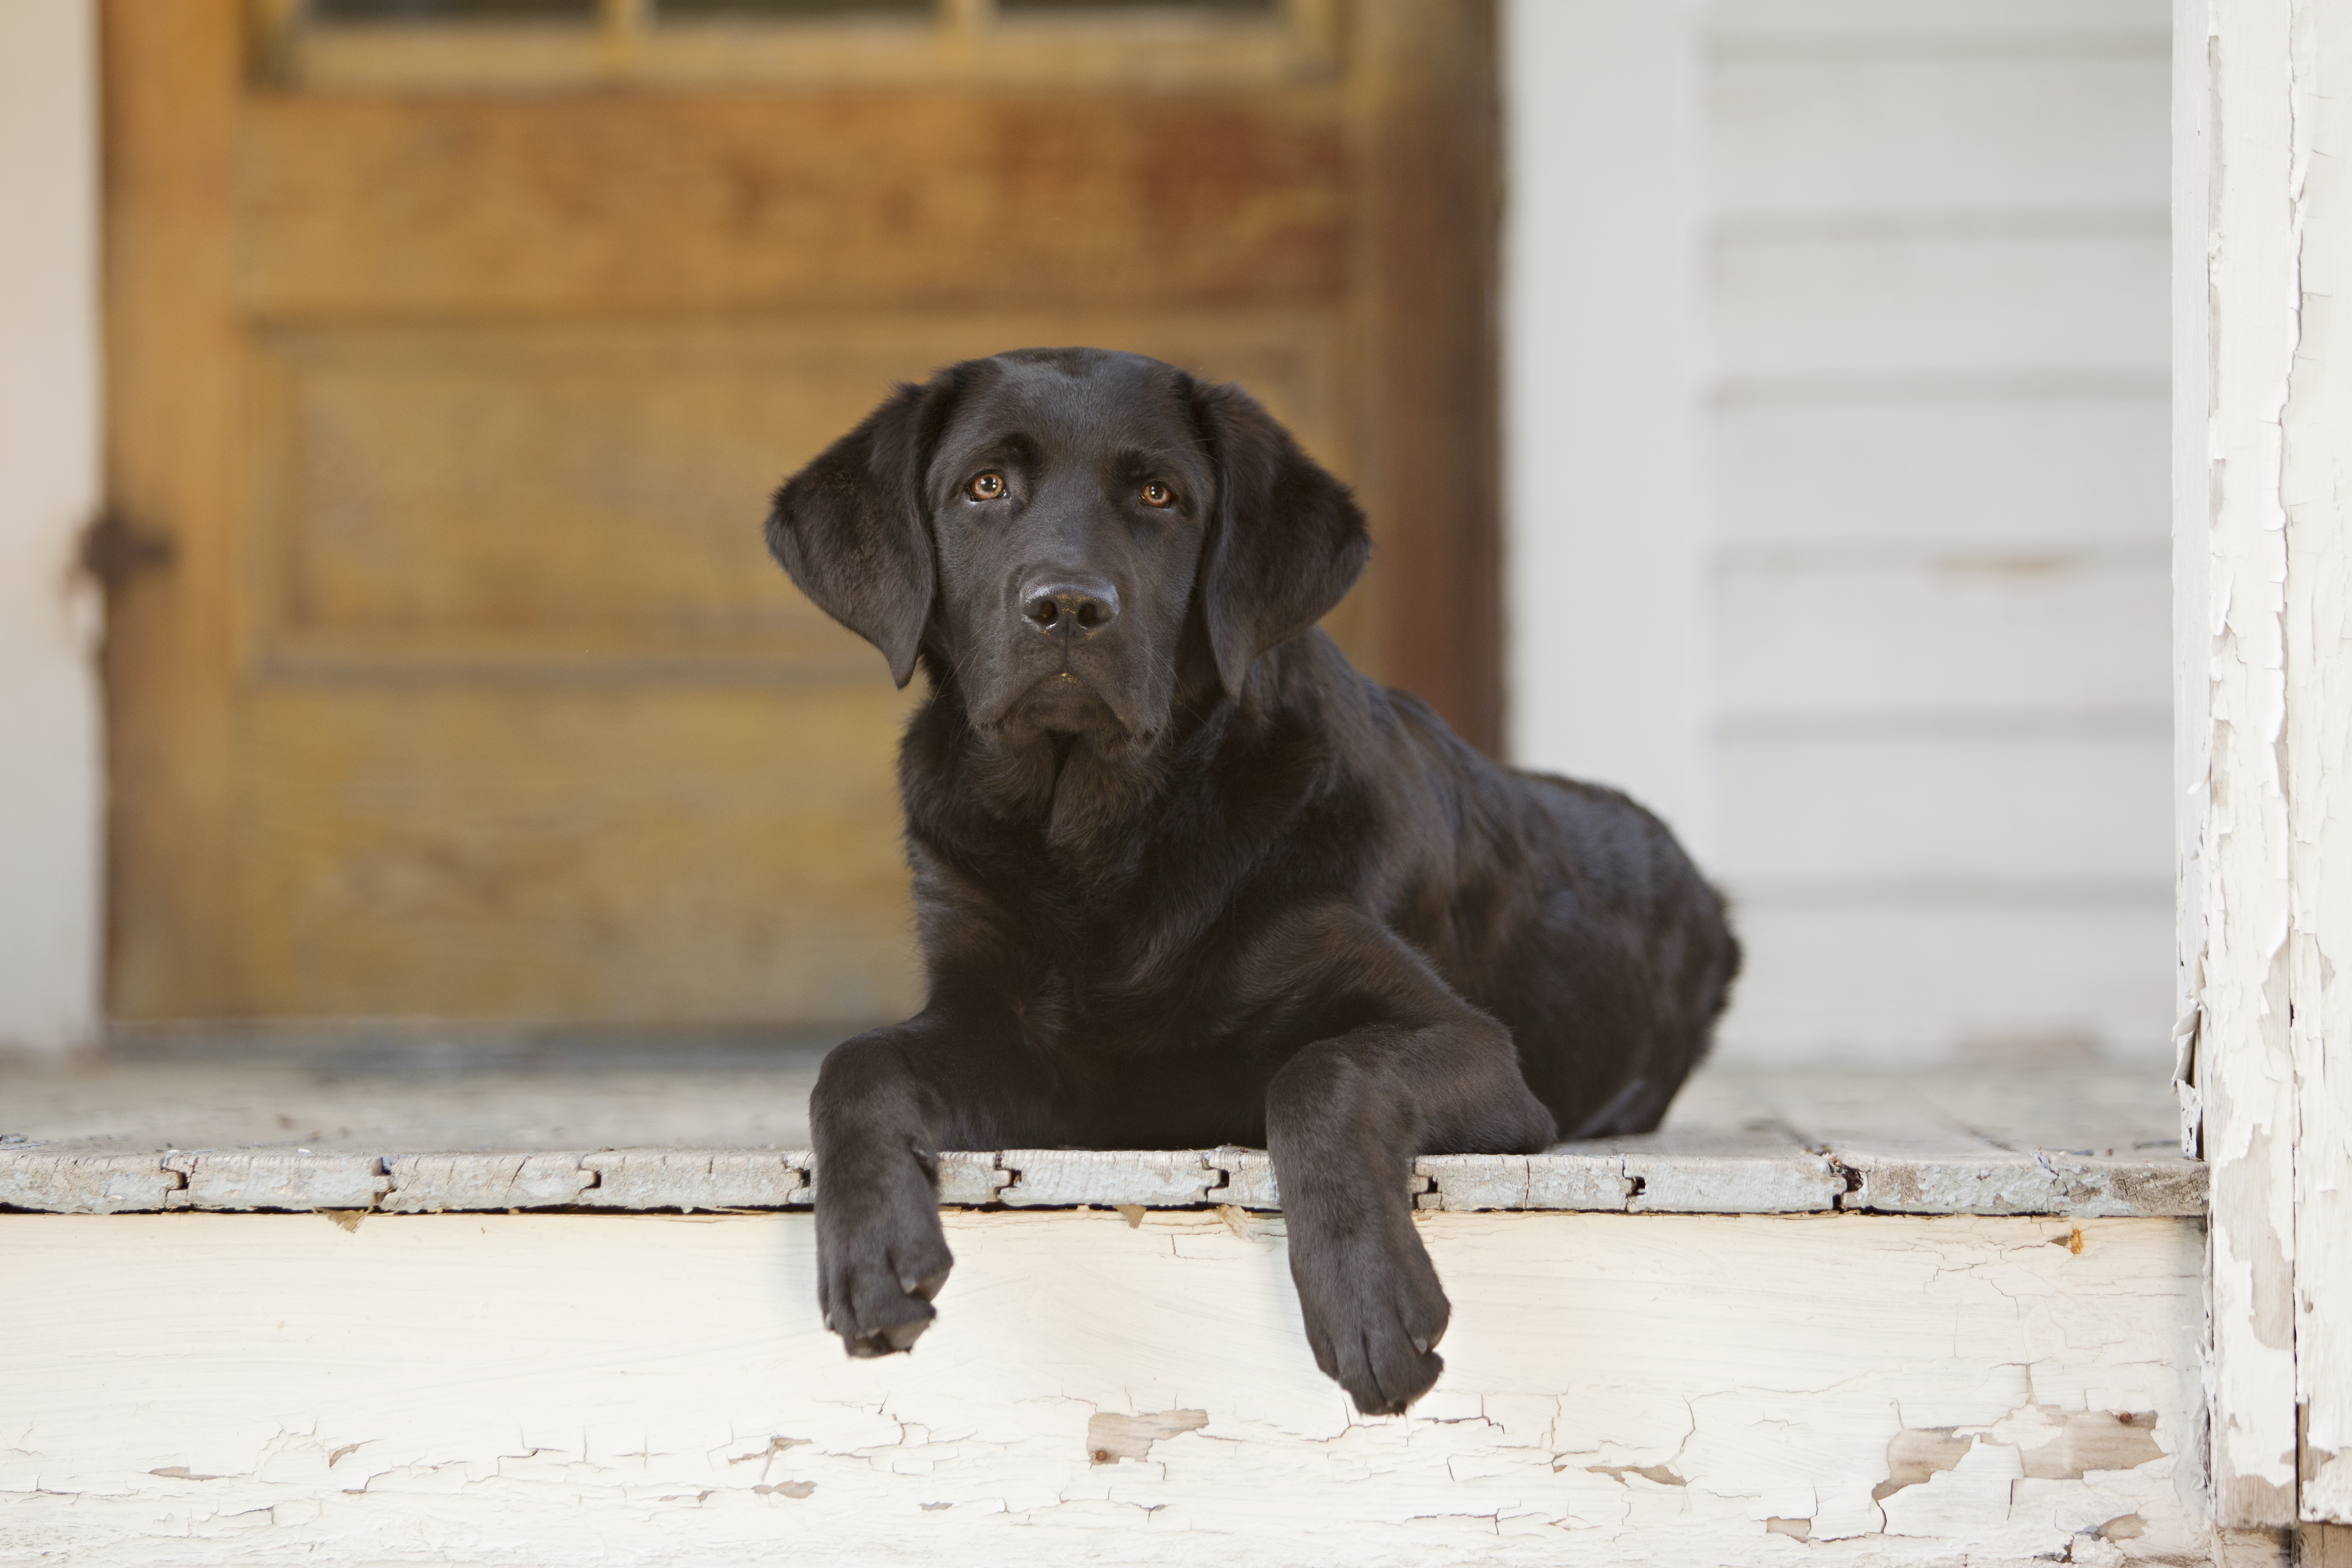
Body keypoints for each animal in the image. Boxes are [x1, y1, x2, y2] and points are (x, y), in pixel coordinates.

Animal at [762, 350, 1740, 1420]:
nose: (1068, 606)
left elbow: (1319, 1070)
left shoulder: (1479, 1048)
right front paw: (870, 1248)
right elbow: (855, 1062)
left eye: (1159, 495)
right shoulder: (1015, 1041)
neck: (1099, 831)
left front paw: (1368, 1295)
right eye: (984, 486)